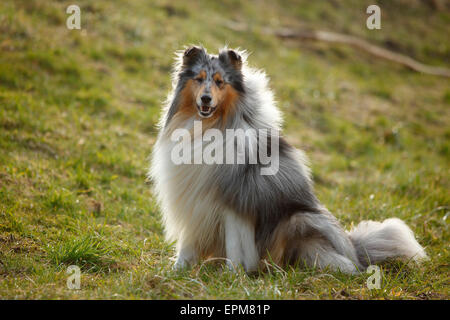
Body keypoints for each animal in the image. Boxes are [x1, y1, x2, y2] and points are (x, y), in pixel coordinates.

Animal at [149, 45, 428, 272]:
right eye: (198, 79)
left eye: (220, 82)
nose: (205, 99)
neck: (208, 126)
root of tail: (355, 251)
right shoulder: (192, 199)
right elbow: (188, 242)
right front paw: (177, 270)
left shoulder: (235, 201)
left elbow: (235, 244)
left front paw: (232, 274)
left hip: (300, 219)